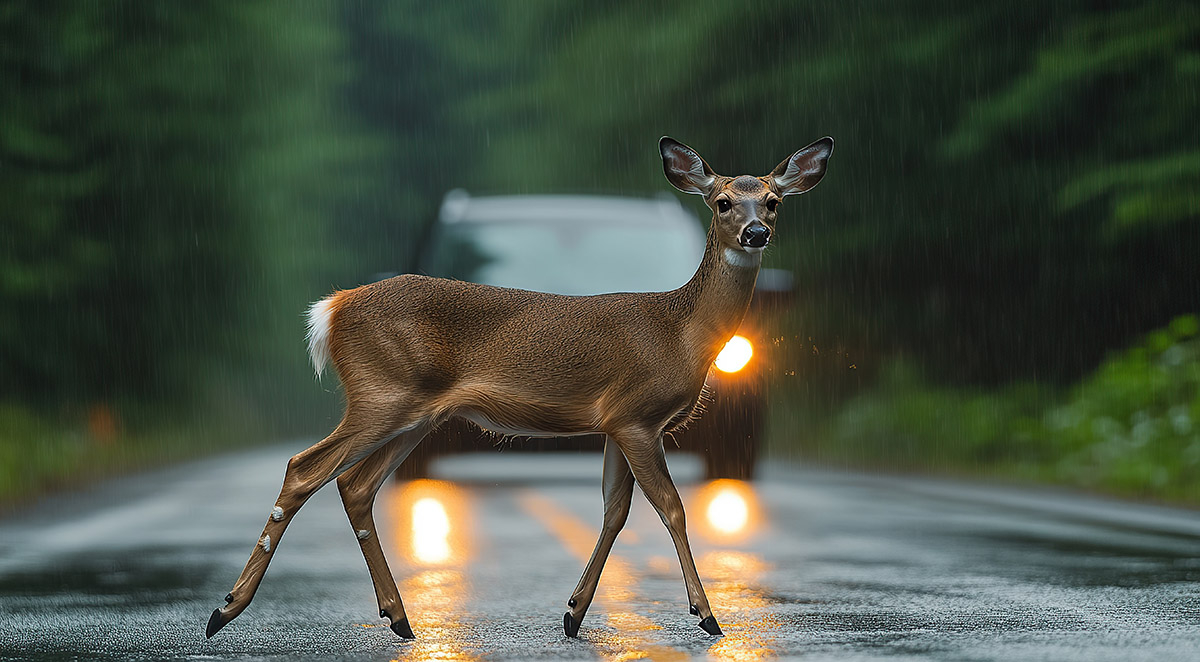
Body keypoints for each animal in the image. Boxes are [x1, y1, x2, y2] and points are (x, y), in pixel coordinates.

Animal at [205, 135, 832, 641]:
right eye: (723, 201)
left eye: (773, 200)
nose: (756, 232)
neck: (680, 331)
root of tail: (330, 310)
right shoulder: (637, 417)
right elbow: (672, 509)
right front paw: (707, 616)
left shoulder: (616, 425)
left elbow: (614, 512)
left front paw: (574, 614)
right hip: (381, 392)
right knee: (304, 467)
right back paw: (226, 609)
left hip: (414, 413)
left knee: (355, 485)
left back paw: (400, 618)